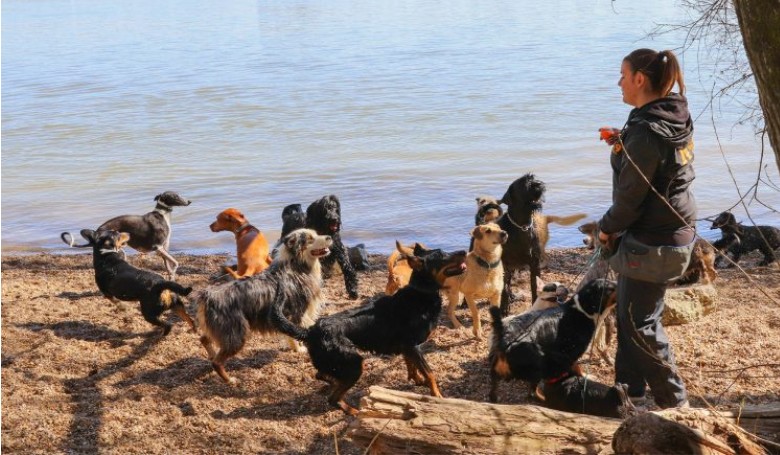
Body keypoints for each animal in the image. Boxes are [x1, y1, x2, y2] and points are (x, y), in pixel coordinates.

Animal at [61, 191, 192, 280]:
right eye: (175, 196)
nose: (189, 201)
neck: (162, 215)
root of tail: (97, 231)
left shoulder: (163, 248)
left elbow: (168, 266)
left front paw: (172, 277)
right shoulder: (158, 247)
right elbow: (175, 262)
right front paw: (174, 271)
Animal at [195, 230, 332, 382]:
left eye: (316, 234)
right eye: (310, 239)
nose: (329, 237)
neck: (296, 265)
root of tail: (209, 296)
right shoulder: (297, 313)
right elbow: (294, 336)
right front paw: (299, 349)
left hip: (217, 329)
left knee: (203, 339)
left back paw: (212, 354)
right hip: (235, 334)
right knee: (217, 362)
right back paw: (229, 380)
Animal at [272, 244, 466, 416]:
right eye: (442, 255)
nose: (464, 251)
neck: (421, 293)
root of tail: (310, 332)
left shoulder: (408, 347)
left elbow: (411, 365)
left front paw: (418, 380)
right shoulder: (413, 346)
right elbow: (430, 373)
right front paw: (437, 396)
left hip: (337, 363)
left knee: (321, 374)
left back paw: (334, 383)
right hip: (354, 364)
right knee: (333, 398)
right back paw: (353, 411)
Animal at [488, 280, 620, 404]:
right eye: (610, 288)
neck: (583, 310)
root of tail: (506, 338)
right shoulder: (571, 352)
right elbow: (577, 367)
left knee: (493, 390)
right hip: (538, 365)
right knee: (532, 391)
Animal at [496, 175, 544, 318]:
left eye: (532, 177)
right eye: (523, 183)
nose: (538, 184)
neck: (522, 226)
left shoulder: (535, 263)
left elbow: (535, 285)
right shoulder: (504, 264)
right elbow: (504, 288)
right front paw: (504, 309)